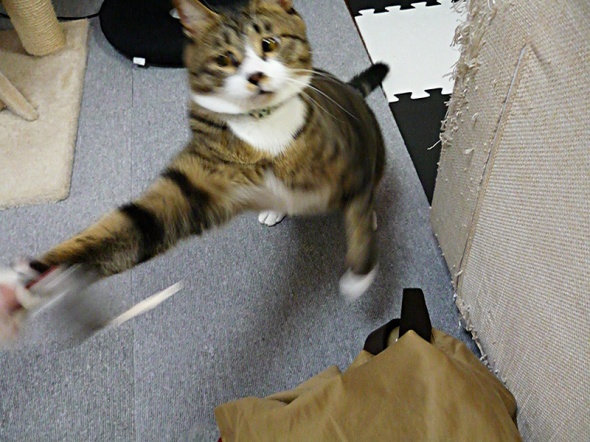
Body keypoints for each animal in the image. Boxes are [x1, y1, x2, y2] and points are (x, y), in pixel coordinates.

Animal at [0, 0, 389, 342]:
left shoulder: (353, 159)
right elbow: (134, 225)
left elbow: (357, 214)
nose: (256, 76)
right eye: (225, 59)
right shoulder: (192, 188)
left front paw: (360, 272)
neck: (263, 128)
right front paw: (31, 279)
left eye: (269, 44)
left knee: (370, 193)